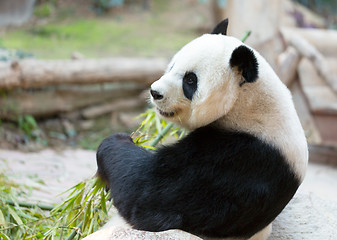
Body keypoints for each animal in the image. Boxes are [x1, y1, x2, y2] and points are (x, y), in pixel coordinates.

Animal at [96, 19, 308, 240]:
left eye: (190, 80)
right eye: (172, 65)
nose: (155, 92)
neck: (249, 105)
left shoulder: (242, 162)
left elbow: (147, 192)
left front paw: (119, 140)